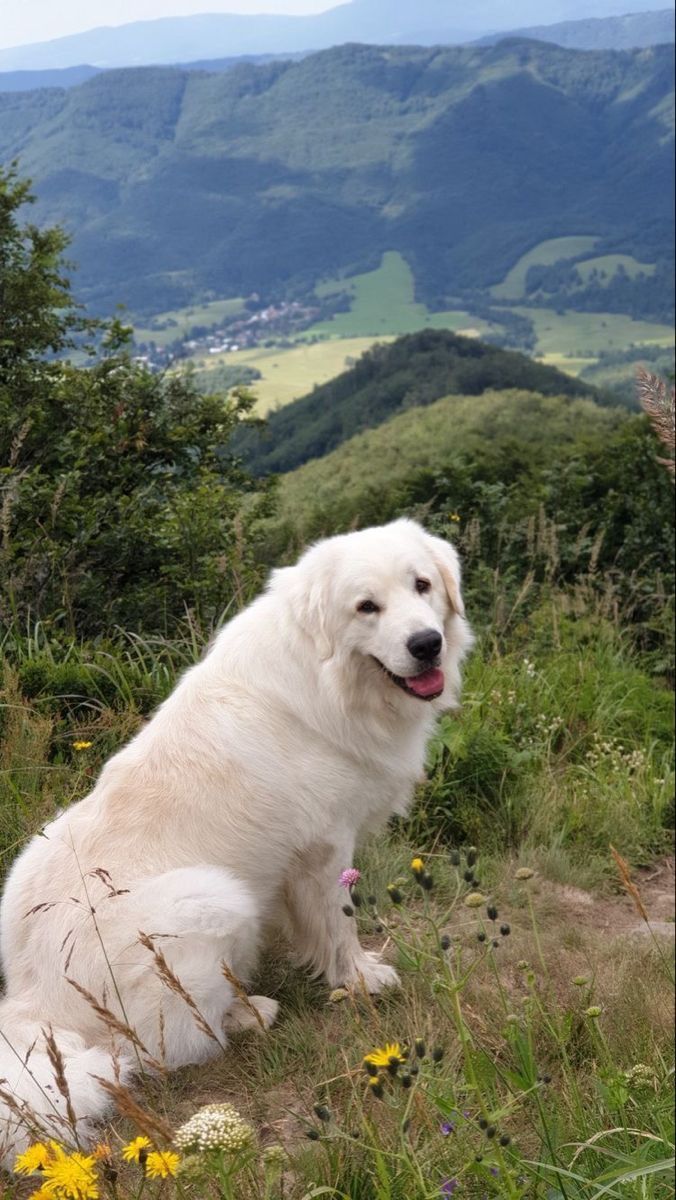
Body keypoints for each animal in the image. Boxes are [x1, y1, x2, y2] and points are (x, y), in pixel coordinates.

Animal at [0, 518, 470, 1161]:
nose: (426, 643)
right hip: (214, 896)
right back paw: (254, 1013)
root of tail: (34, 1000)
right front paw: (359, 978)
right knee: (169, 1046)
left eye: (421, 585)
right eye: (366, 607)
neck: (331, 679)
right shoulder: (326, 850)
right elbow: (339, 924)